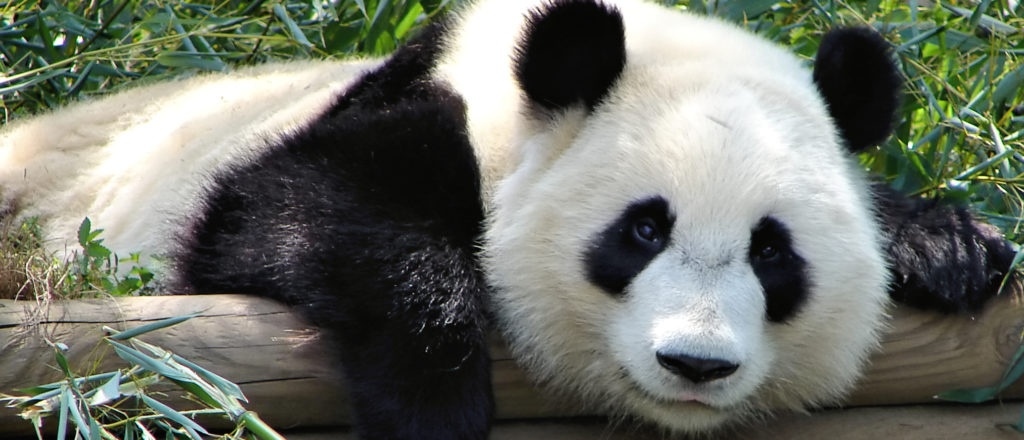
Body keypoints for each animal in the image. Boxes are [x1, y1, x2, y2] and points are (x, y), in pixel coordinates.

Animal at [0, 0, 1016, 438]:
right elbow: (287, 215)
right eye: (643, 230)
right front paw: (432, 401)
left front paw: (949, 245)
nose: (695, 364)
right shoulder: (389, 117)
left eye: (773, 253)